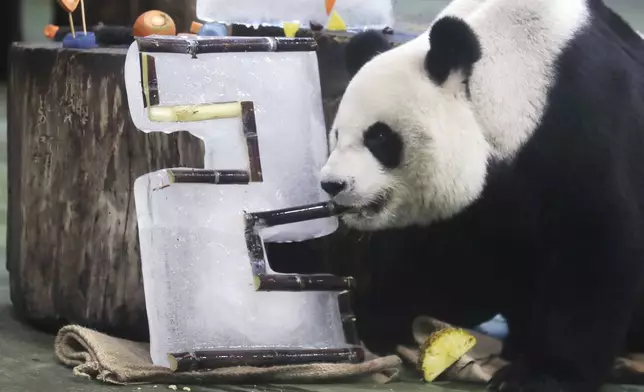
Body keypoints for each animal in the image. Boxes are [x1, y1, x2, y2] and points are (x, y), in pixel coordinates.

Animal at [320, 0, 644, 392]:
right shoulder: (481, 203)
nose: (333, 184)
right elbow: (453, 265)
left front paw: (539, 375)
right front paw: (382, 320)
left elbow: (593, 249)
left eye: (379, 137)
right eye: (337, 135)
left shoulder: (584, 123)